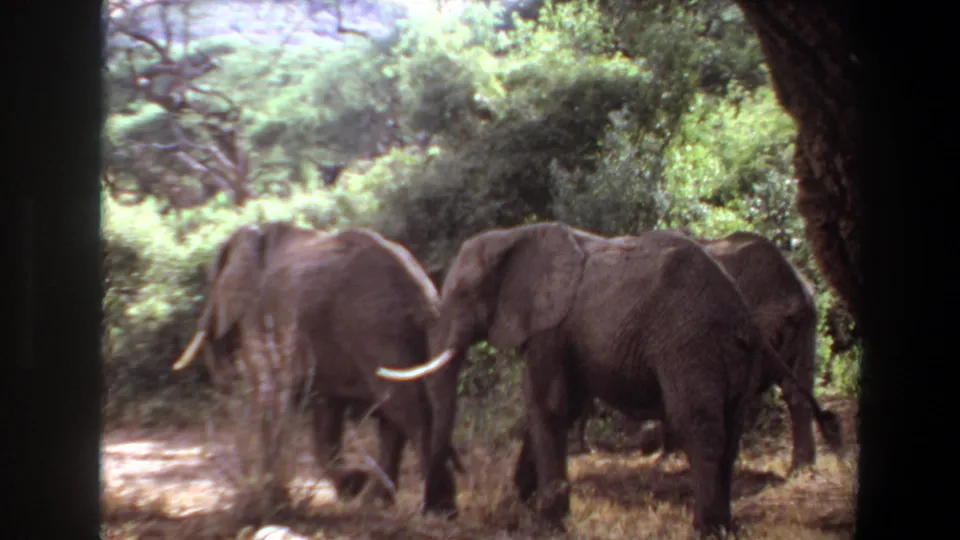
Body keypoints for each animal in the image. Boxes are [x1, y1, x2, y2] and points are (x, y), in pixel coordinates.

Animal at [172, 221, 461, 513]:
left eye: (212, 283)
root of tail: (422, 288)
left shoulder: (261, 316)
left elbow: (270, 396)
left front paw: (280, 498)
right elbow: (325, 416)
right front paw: (351, 486)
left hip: (377, 329)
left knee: (406, 408)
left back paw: (437, 508)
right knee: (393, 416)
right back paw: (377, 502)